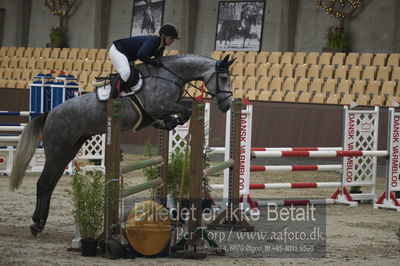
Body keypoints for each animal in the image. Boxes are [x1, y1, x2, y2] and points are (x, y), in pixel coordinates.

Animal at [9, 53, 234, 235]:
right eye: (223, 78)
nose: (227, 105)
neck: (169, 75)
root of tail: (50, 113)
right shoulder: (156, 106)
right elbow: (184, 111)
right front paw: (174, 121)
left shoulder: (159, 111)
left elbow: (179, 113)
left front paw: (169, 123)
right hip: (57, 151)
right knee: (43, 183)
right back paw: (36, 224)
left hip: (68, 151)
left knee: (50, 184)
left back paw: (40, 222)